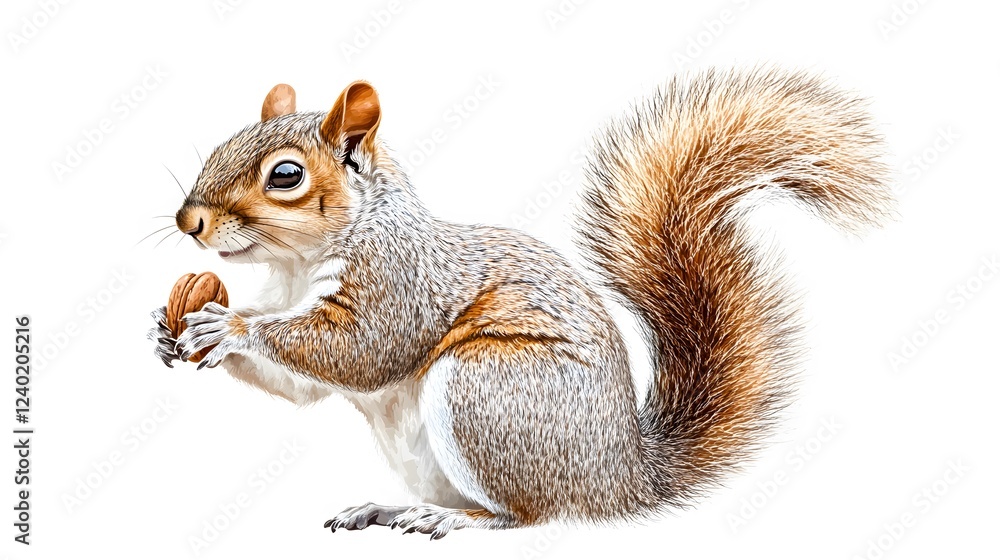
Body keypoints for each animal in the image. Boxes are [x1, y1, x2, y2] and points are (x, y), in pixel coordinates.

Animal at [148, 67, 892, 539]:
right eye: (220, 145)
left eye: (286, 176)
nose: (189, 221)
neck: (298, 269)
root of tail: (623, 479)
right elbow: (301, 387)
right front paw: (170, 329)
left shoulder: (400, 283)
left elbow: (361, 349)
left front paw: (230, 326)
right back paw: (385, 510)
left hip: (488, 390)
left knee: (529, 515)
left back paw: (450, 519)